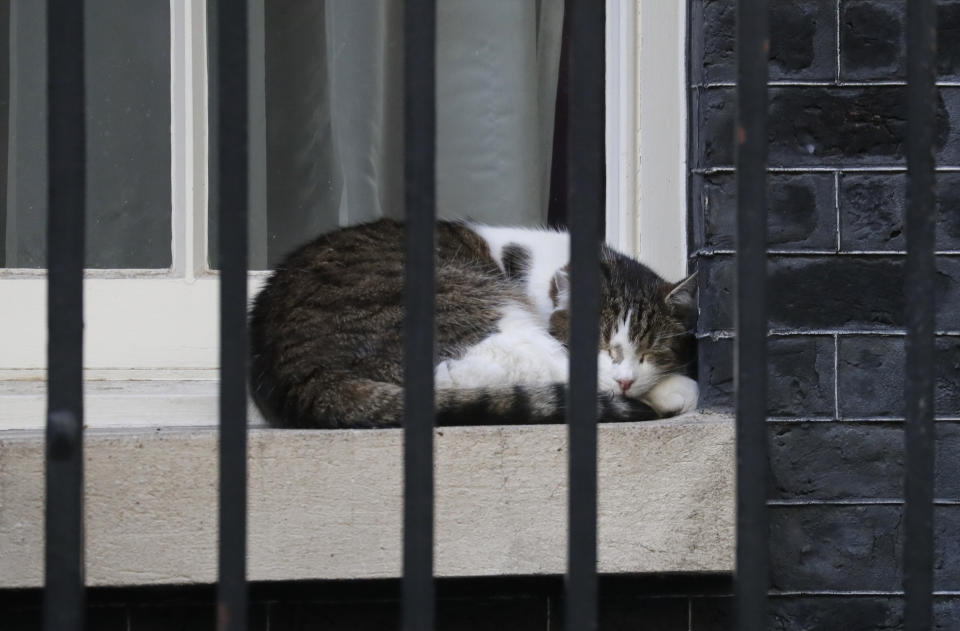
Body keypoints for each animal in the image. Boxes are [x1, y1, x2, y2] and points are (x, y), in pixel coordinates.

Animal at [248, 218, 696, 430]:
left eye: (652, 351)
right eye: (600, 344)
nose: (626, 378)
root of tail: (297, 374)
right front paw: (671, 389)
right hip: (476, 304)